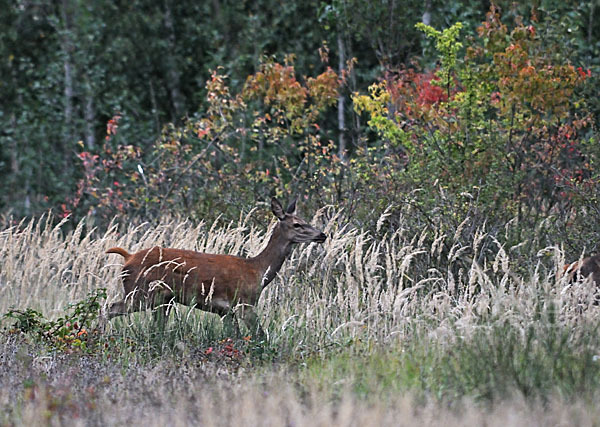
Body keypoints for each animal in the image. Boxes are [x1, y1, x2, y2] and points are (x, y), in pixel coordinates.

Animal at [104, 199, 328, 340]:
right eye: (297, 224)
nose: (322, 235)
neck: (257, 270)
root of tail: (128, 257)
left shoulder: (225, 311)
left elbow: (235, 337)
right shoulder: (244, 304)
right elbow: (260, 336)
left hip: (162, 299)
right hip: (141, 292)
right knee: (109, 308)